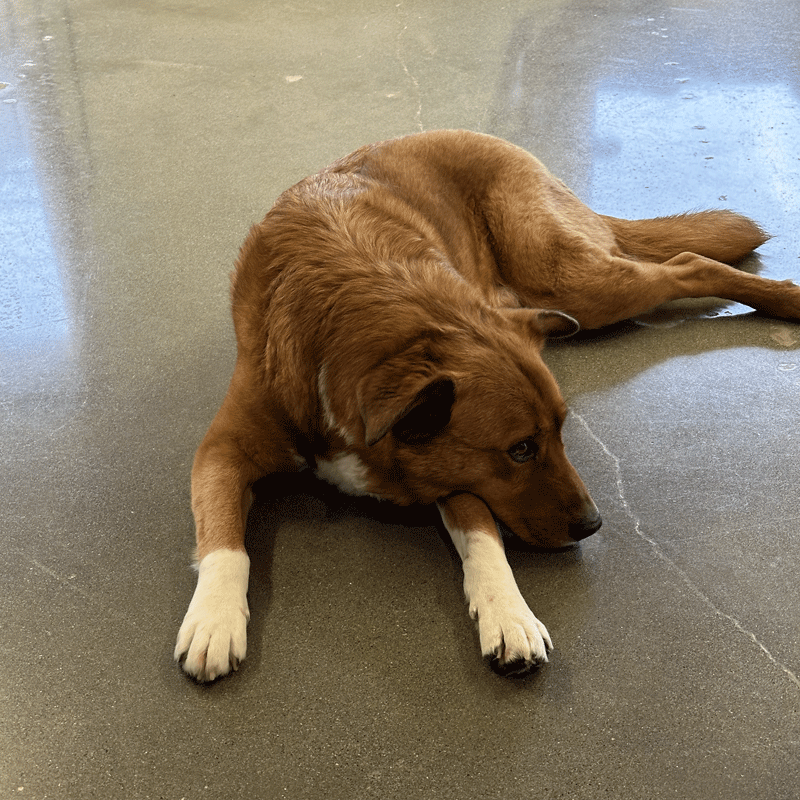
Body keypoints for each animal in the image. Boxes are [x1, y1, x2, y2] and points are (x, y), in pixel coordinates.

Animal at [175, 128, 800, 680]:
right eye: (521, 449)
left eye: (562, 433)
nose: (594, 524)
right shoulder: (222, 450)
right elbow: (225, 541)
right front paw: (214, 618)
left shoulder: (459, 475)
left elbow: (483, 538)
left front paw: (509, 615)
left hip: (573, 283)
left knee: (691, 263)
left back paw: (785, 300)